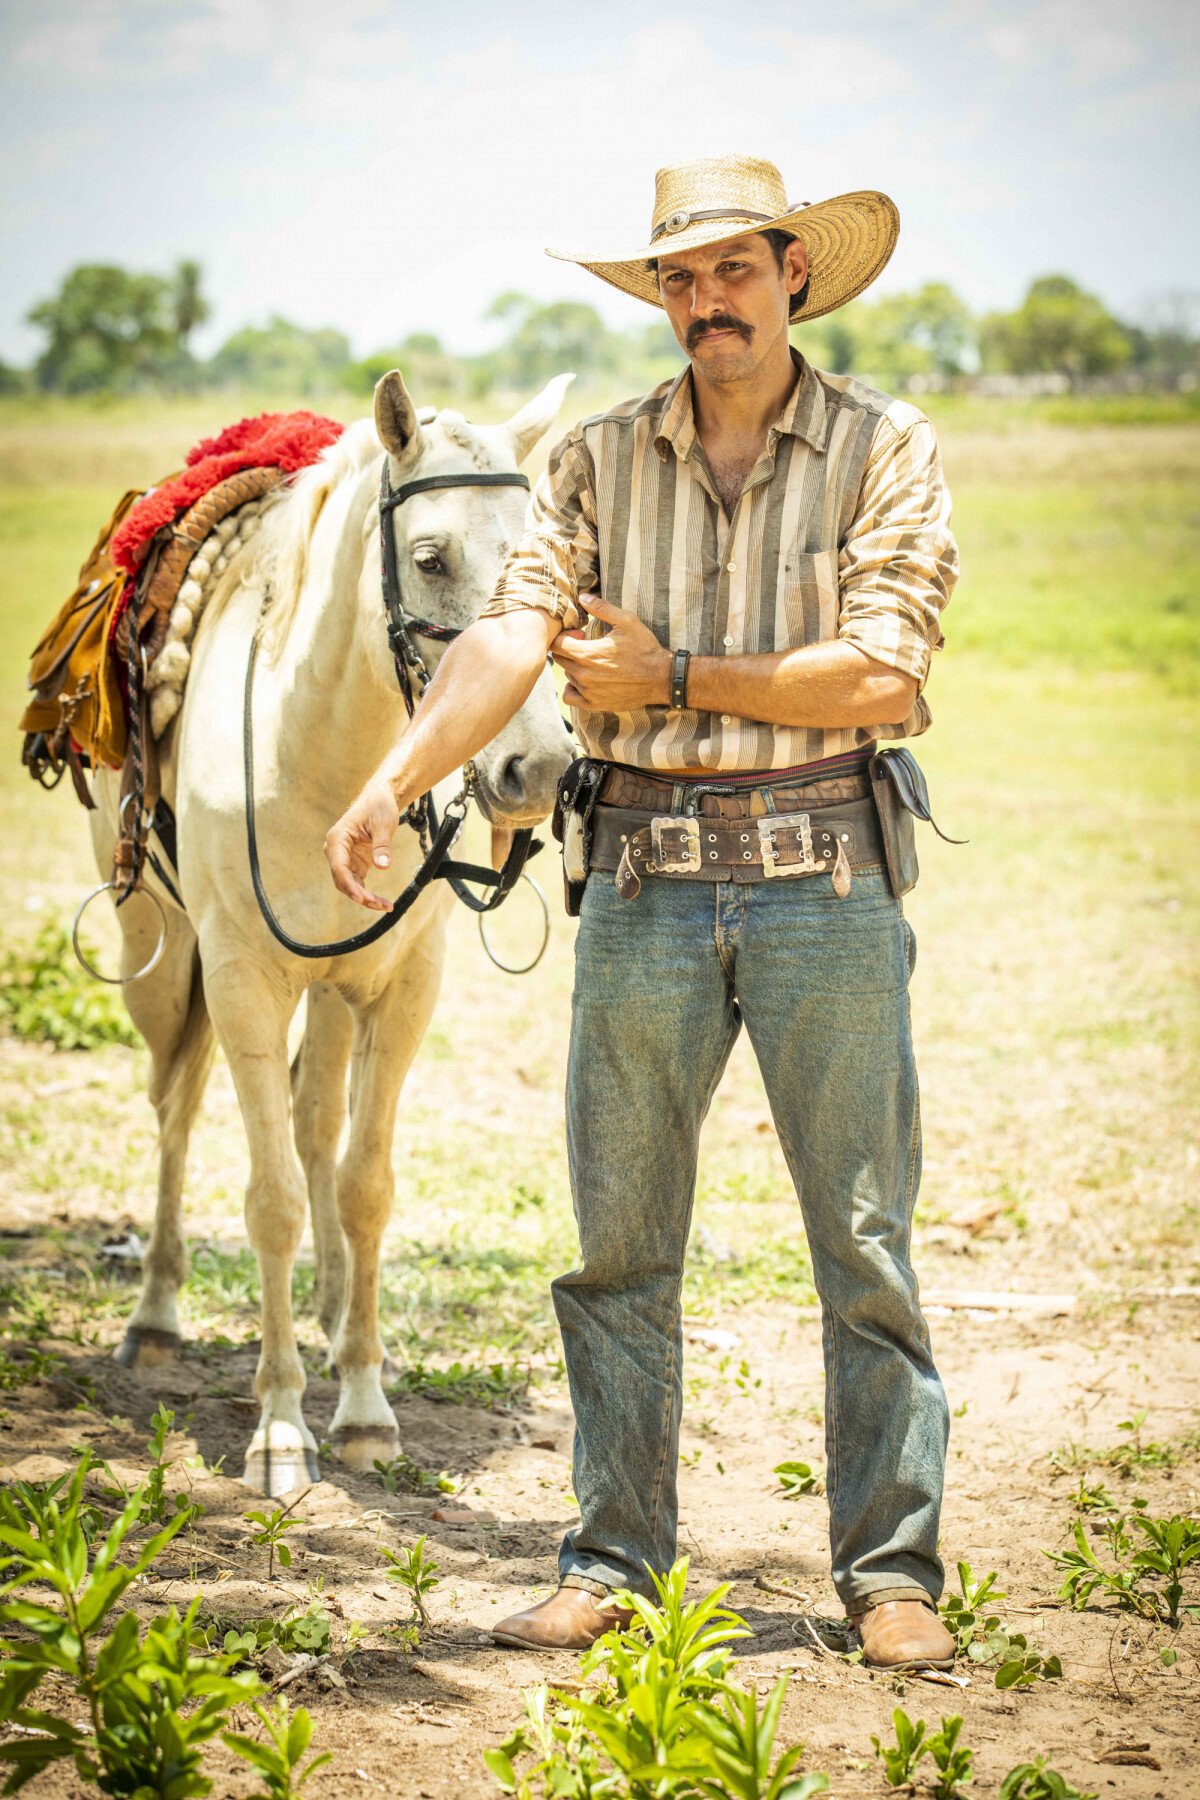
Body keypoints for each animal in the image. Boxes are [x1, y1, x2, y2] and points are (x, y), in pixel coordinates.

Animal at [86, 369, 575, 1490]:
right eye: (432, 559)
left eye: (547, 558)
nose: (538, 768)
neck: (321, 754)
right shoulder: (241, 982)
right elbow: (266, 1197)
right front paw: (278, 1426)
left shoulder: (400, 986)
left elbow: (363, 1184)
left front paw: (360, 1403)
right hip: (161, 959)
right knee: (175, 1108)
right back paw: (158, 1316)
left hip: (332, 987)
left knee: (316, 1124)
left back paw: (332, 1297)